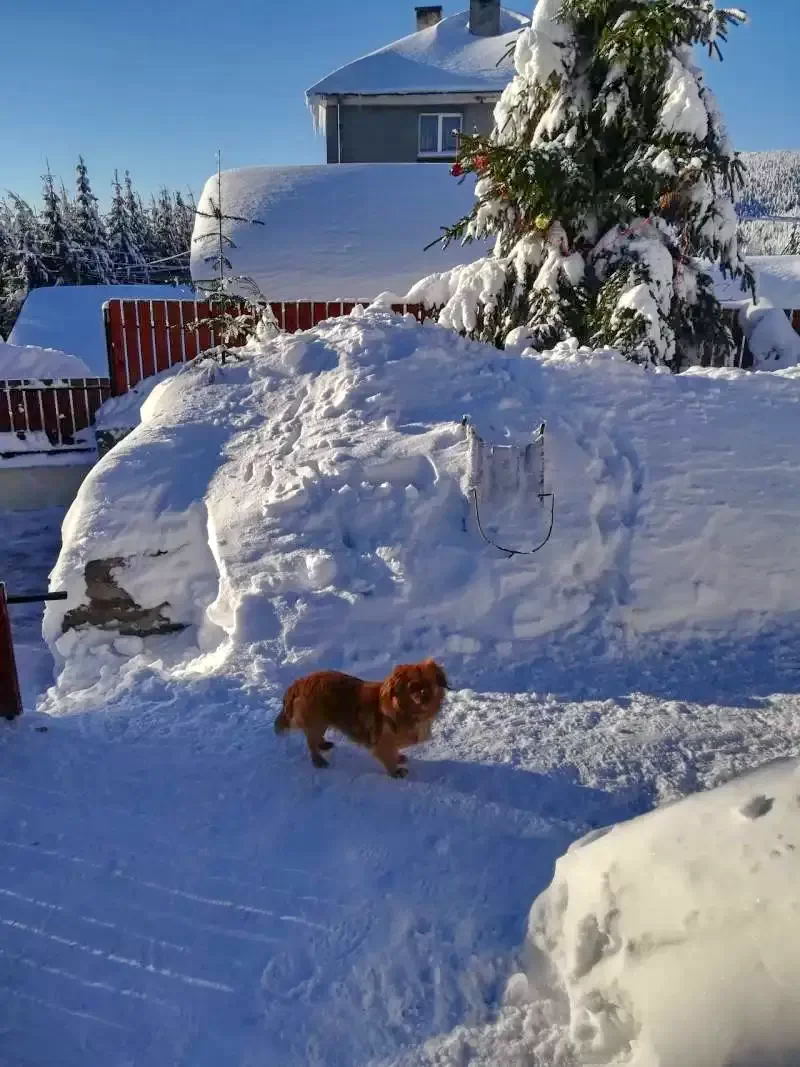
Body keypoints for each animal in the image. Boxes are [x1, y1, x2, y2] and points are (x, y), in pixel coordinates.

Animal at [277, 657, 452, 776]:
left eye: (430, 683)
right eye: (413, 686)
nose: (424, 694)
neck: (406, 712)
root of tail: (300, 682)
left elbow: (394, 753)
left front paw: (398, 758)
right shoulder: (383, 742)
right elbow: (388, 758)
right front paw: (395, 772)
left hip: (322, 721)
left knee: (315, 739)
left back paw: (323, 745)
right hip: (316, 722)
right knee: (311, 743)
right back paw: (318, 760)